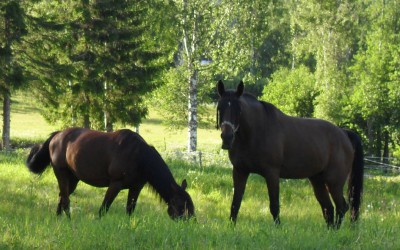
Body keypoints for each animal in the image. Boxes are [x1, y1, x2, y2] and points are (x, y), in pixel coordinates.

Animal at [25, 128, 195, 220]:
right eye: (181, 205)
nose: (191, 223)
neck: (139, 156)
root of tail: (57, 135)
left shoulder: (136, 187)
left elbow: (130, 210)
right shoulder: (115, 184)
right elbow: (104, 208)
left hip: (73, 179)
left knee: (62, 197)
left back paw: (58, 218)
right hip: (61, 174)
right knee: (66, 200)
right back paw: (68, 220)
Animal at [217, 80, 364, 229]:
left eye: (239, 110)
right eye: (219, 108)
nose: (227, 138)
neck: (256, 132)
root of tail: (344, 133)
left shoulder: (272, 174)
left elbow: (274, 206)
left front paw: (278, 229)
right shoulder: (240, 171)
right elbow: (235, 204)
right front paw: (231, 227)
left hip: (334, 182)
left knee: (342, 207)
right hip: (317, 180)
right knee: (328, 208)